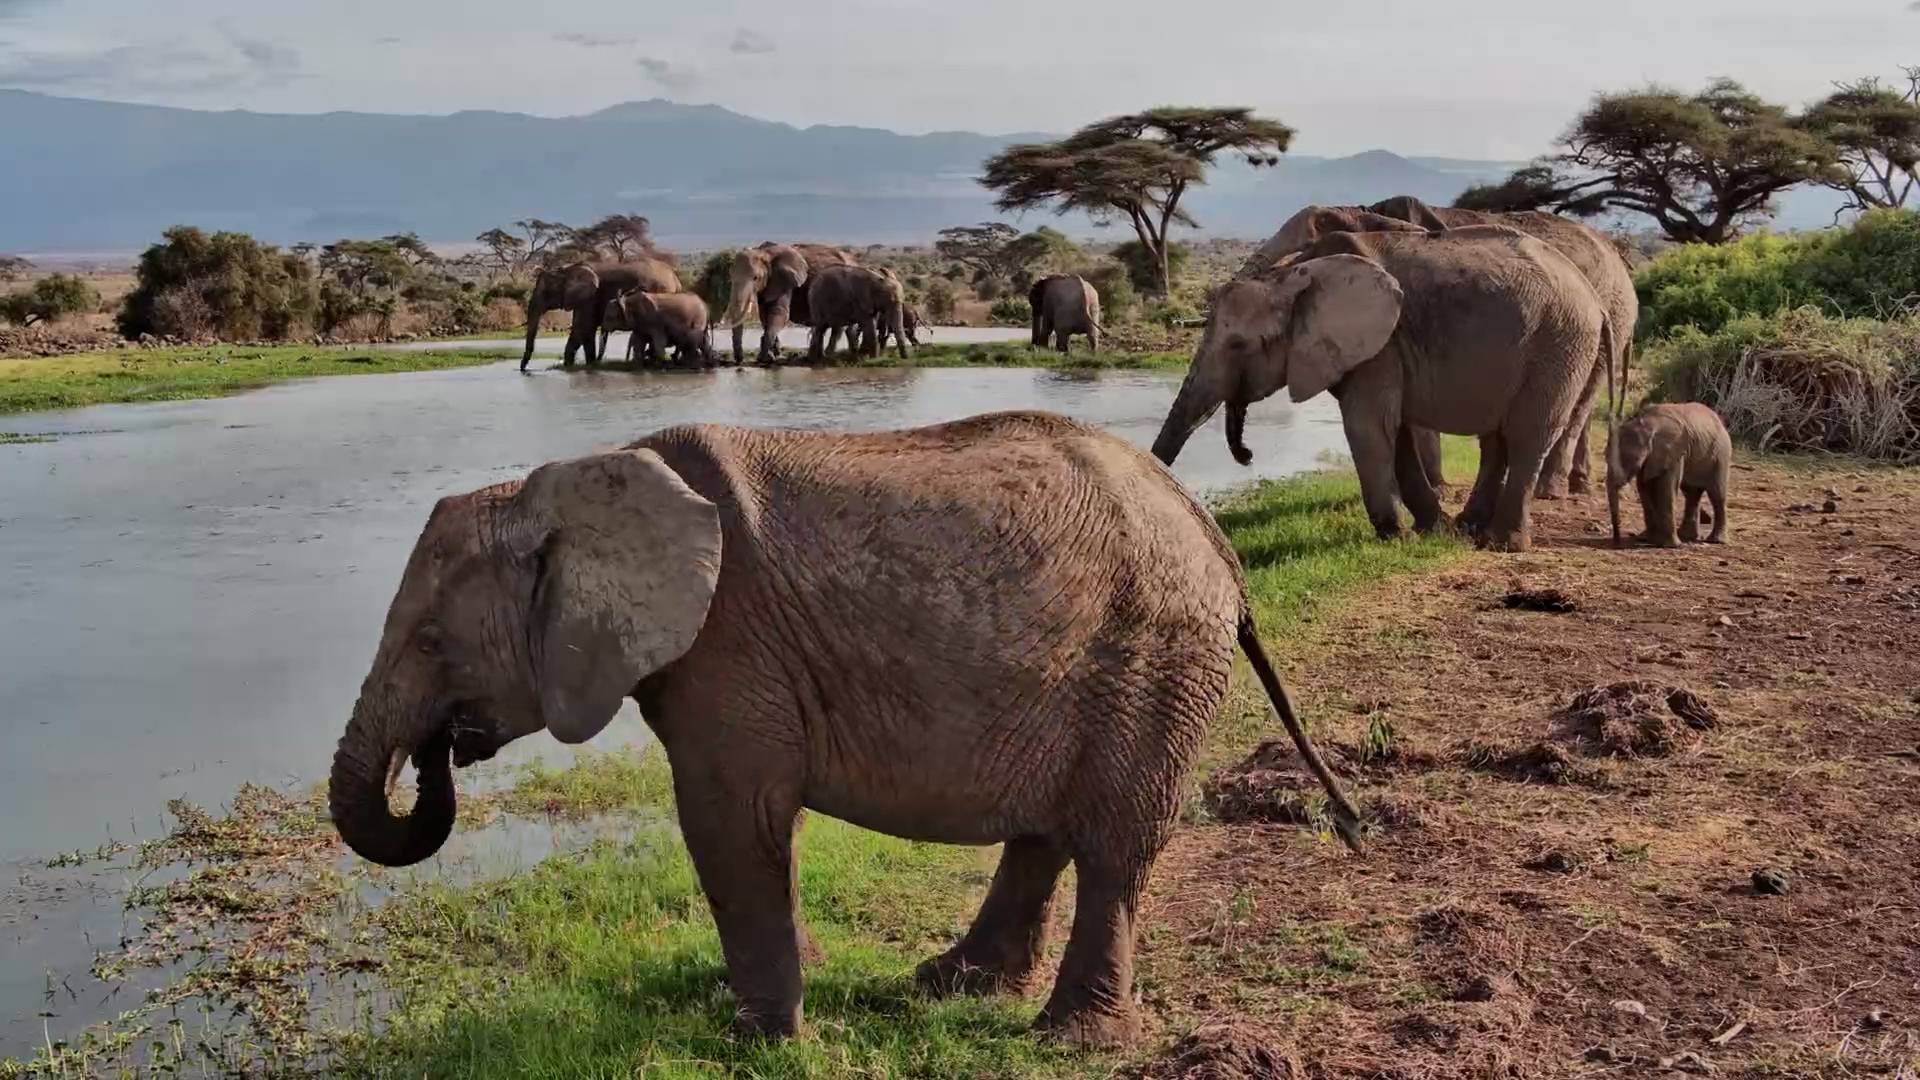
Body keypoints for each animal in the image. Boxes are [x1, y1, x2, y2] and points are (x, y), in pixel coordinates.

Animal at [325, 410, 1361, 1049]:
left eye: (432, 641)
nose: (443, 750)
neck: (576, 482)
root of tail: (1211, 531)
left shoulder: (730, 648)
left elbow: (730, 820)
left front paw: (756, 1038)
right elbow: (746, 830)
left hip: (1155, 658)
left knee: (1114, 847)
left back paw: (1069, 1037)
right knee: (1048, 832)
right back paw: (952, 985)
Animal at [521, 257, 681, 371]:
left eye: (545, 292)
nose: (523, 370)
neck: (566, 270)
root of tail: (674, 276)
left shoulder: (589, 298)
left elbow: (582, 329)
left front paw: (581, 366)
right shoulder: (584, 299)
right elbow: (583, 331)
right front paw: (584, 365)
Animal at [722, 242, 856, 364]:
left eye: (756, 278)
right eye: (731, 277)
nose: (739, 360)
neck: (764, 253)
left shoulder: (784, 282)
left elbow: (778, 314)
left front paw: (764, 359)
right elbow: (765, 317)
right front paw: (773, 355)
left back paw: (825, 356)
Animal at [1151, 225, 1612, 552]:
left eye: (1239, 346)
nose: (1247, 455)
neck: (1292, 273)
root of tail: (1594, 297)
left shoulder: (1380, 345)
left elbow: (1368, 427)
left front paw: (1398, 538)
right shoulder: (1375, 348)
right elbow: (1397, 432)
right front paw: (1433, 532)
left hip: (1560, 343)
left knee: (1526, 436)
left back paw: (1502, 544)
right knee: (1496, 439)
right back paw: (1469, 527)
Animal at [1606, 402, 1730, 547]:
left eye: (1632, 458)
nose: (1617, 540)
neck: (1648, 423)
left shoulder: (1674, 451)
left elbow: (1666, 487)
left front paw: (1669, 545)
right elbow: (1644, 486)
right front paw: (1651, 540)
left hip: (1720, 454)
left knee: (1717, 493)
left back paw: (1716, 541)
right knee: (1691, 493)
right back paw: (1685, 537)